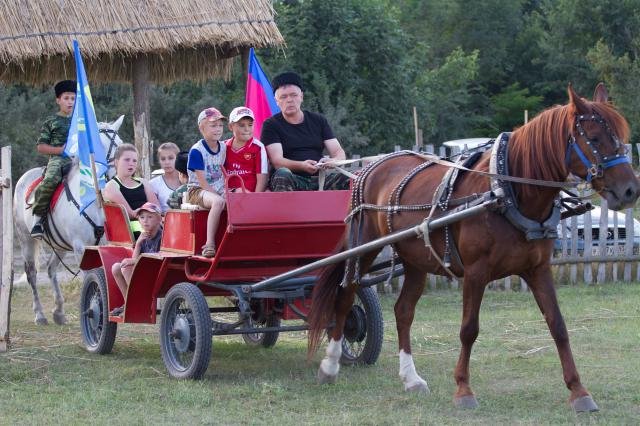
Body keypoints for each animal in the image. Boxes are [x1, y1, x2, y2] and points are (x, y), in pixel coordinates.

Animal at [14, 115, 125, 324]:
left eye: (121, 144)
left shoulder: (105, 245)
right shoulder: (81, 246)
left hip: (59, 244)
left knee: (51, 269)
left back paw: (58, 312)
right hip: (26, 240)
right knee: (32, 273)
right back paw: (40, 314)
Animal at [306, 84, 640, 412]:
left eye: (621, 139)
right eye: (594, 138)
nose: (630, 190)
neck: (507, 192)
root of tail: (369, 167)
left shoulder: (538, 269)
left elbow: (558, 325)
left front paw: (579, 391)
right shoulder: (476, 272)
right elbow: (469, 329)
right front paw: (464, 390)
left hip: (415, 259)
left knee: (403, 311)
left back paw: (411, 378)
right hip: (363, 248)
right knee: (345, 297)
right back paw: (330, 366)